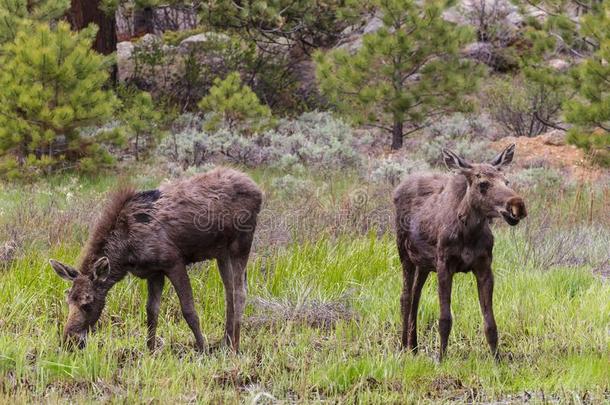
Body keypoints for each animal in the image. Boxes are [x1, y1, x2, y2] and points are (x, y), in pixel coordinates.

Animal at [50, 166, 262, 350]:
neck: (125, 255)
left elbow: (189, 310)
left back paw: (234, 347)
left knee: (240, 291)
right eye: (68, 301)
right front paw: (150, 351)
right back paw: (226, 342)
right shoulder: (154, 272)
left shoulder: (174, 262)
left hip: (241, 243)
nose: (68, 341)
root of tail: (258, 190)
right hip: (221, 252)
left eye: (87, 303)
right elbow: (151, 312)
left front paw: (203, 349)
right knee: (229, 292)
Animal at [392, 144, 524, 358]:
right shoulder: (444, 265)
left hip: (424, 264)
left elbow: (490, 324)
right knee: (405, 297)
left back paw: (414, 347)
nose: (517, 205)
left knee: (415, 296)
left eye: (506, 181)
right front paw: (441, 358)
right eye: (483, 184)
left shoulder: (484, 267)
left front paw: (497, 360)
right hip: (405, 254)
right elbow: (445, 319)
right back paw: (404, 347)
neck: (469, 234)